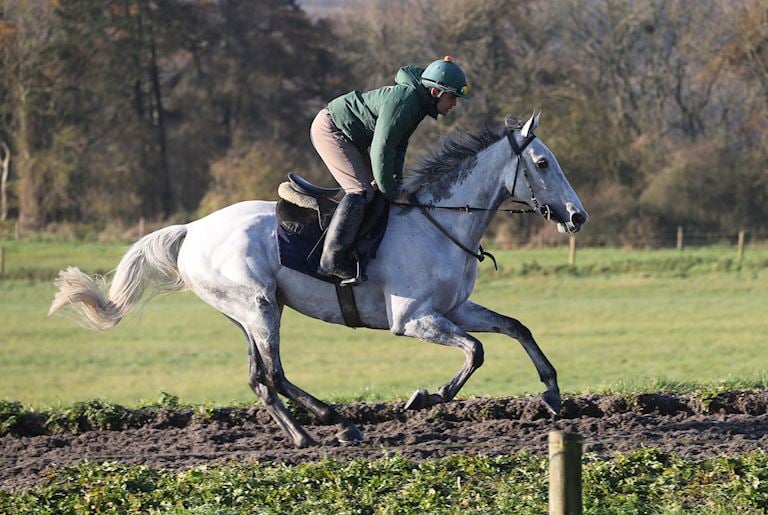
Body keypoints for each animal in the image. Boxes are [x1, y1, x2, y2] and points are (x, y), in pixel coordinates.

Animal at [48, 112, 588, 448]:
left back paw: (302, 435)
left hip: (248, 313)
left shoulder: (454, 309)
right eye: (543, 163)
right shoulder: (413, 319)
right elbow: (476, 351)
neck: (441, 221)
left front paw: (552, 393)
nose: (577, 216)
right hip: (260, 307)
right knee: (274, 374)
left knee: (259, 379)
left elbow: (515, 327)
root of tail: (192, 229)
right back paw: (340, 423)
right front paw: (426, 396)